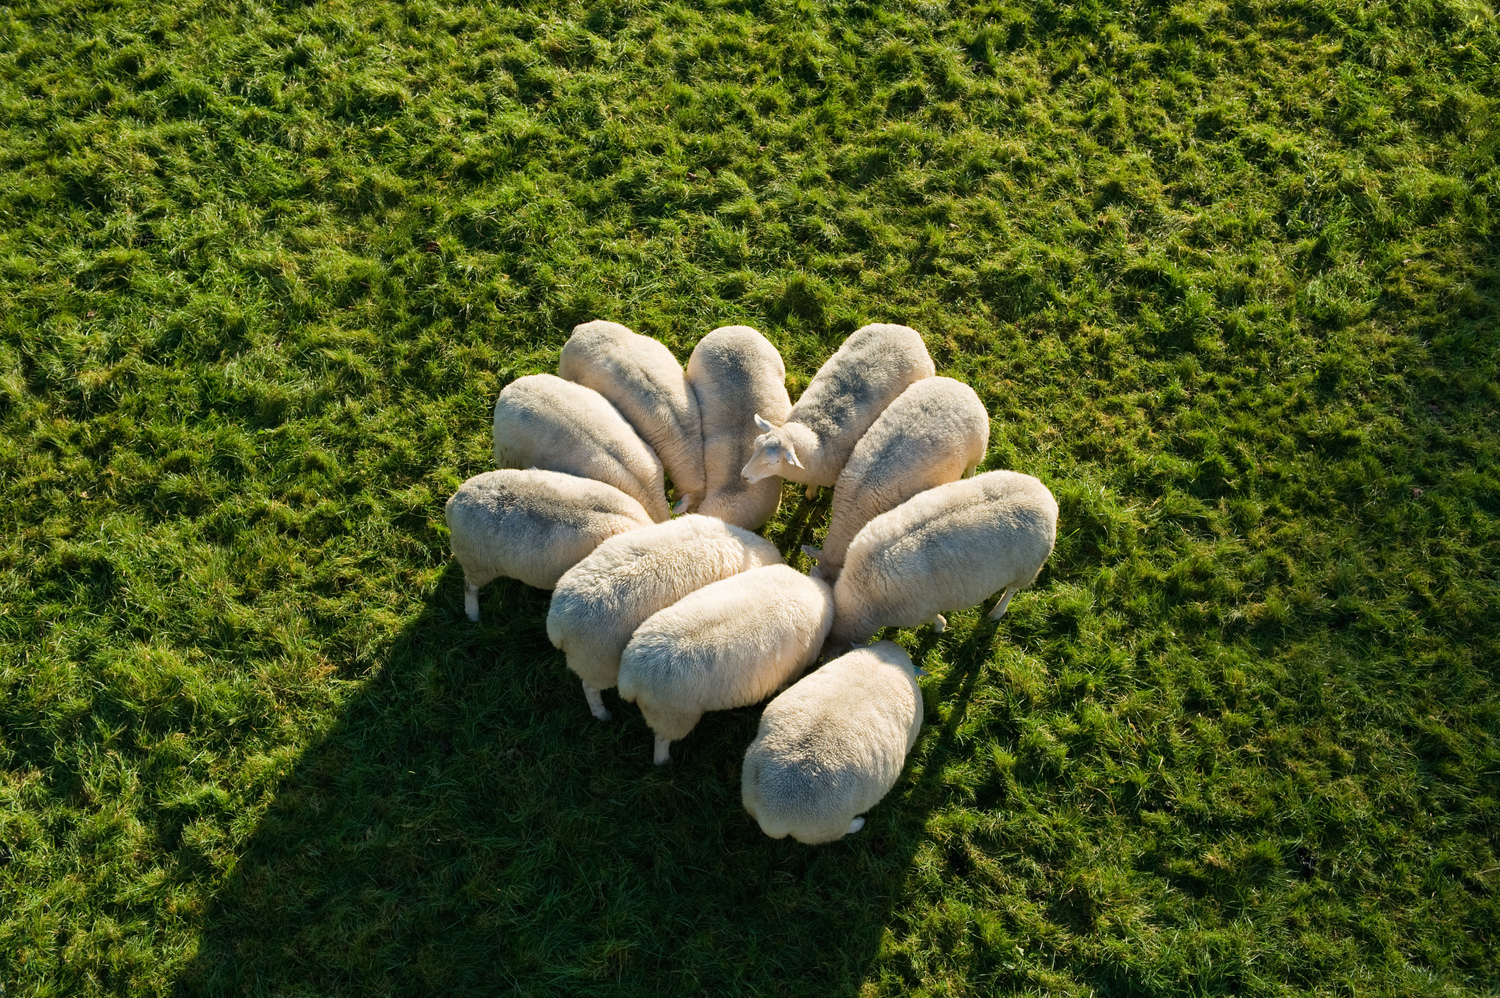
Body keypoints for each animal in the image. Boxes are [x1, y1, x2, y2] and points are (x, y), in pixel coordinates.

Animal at [617, 564, 833, 764]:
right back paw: (665, 762)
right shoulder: (794, 669)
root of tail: (630, 676)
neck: (816, 591)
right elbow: (785, 684)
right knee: (661, 742)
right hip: (671, 716)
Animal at [741, 323, 935, 498]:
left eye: (772, 462)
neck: (816, 437)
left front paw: (810, 495)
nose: (744, 476)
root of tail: (910, 332)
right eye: (755, 445)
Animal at [829, 470, 1057, 645]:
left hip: (1028, 567)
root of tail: (1044, 495)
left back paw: (996, 612)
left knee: (1012, 590)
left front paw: (940, 627)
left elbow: (934, 618)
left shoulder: (918, 612)